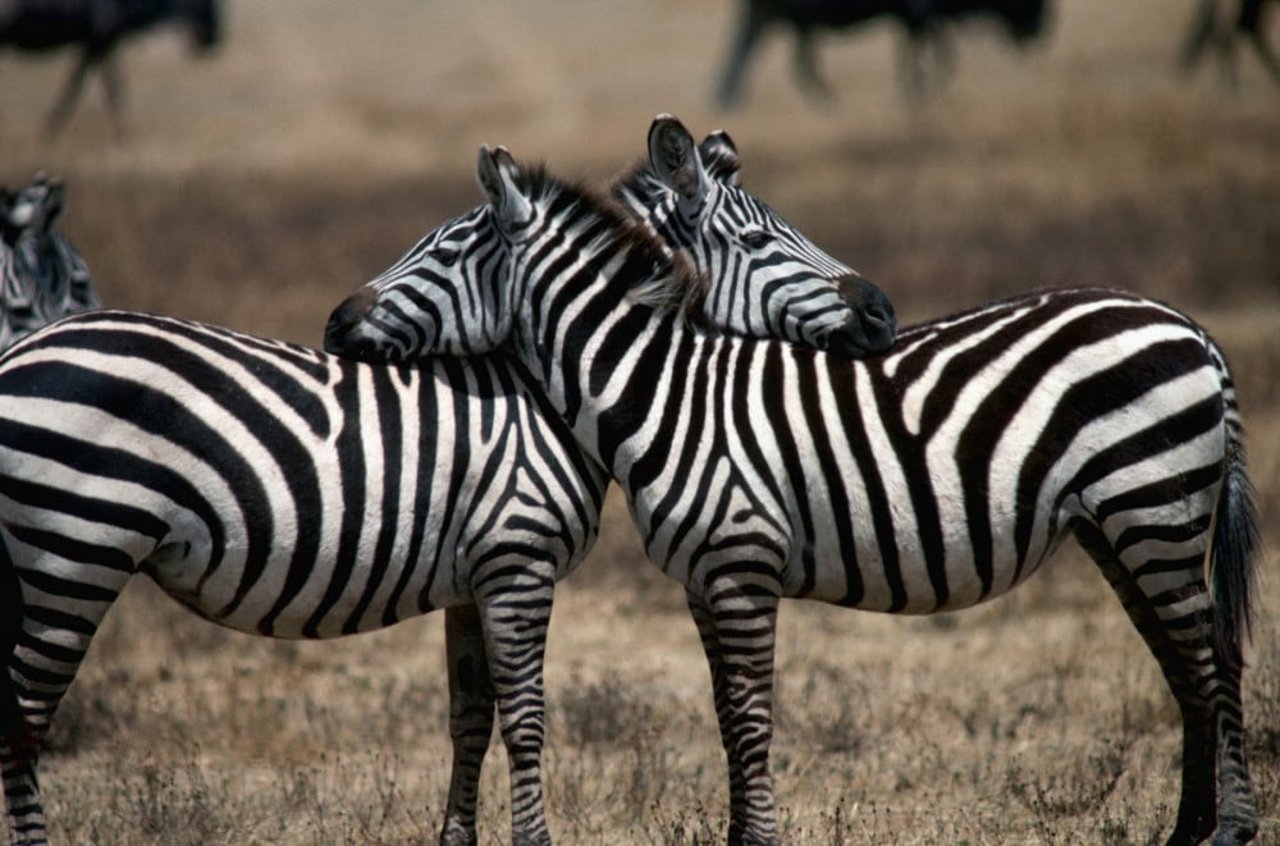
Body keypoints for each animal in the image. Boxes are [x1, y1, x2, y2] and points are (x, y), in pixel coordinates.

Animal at [0, 0, 222, 136]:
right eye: (206, 2)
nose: (213, 39)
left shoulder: (96, 45)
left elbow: (84, 87)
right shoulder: (101, 40)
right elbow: (106, 89)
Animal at [327, 148, 1259, 839]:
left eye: (443, 250)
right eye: (761, 238)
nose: (336, 323)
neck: (666, 388)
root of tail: (1194, 331)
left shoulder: (743, 566)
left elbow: (750, 719)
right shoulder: (704, 577)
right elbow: (725, 715)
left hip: (1155, 506)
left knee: (1215, 662)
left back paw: (1230, 830)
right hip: (1121, 525)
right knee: (1184, 667)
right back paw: (1186, 831)